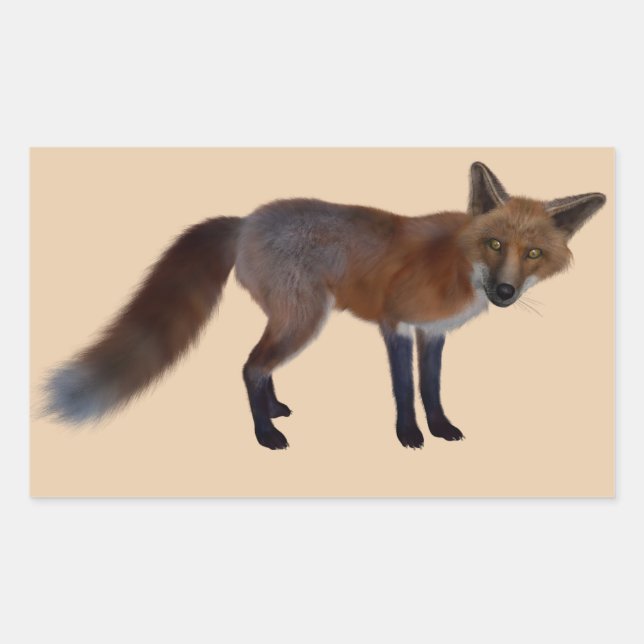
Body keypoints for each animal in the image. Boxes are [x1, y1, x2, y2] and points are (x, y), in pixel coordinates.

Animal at [43, 162, 606, 450]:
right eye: (494, 244)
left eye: (533, 254)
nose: (505, 293)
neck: (455, 261)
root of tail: (246, 220)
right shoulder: (395, 324)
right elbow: (405, 391)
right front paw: (409, 435)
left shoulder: (433, 333)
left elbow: (432, 389)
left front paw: (441, 428)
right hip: (304, 320)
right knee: (250, 366)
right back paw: (265, 433)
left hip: (290, 319)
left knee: (259, 366)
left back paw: (273, 409)